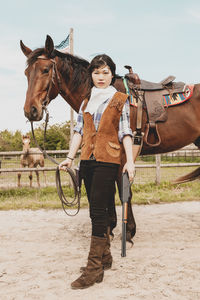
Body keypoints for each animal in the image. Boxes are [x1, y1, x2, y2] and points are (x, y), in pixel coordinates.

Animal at [19, 35, 200, 241]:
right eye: (26, 73)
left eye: (45, 70)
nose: (31, 111)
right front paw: (111, 227)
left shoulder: (122, 155)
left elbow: (121, 189)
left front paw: (128, 231)